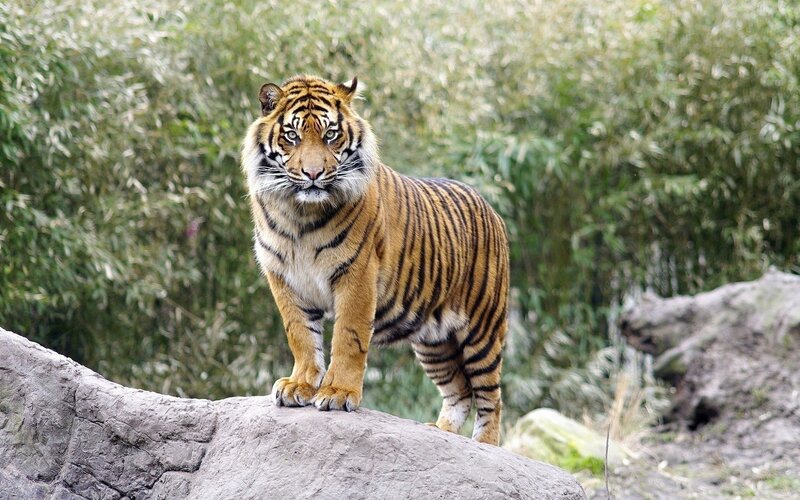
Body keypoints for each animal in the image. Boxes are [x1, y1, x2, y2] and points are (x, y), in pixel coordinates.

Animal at [240, 75, 509, 445]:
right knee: (459, 391)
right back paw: (440, 432)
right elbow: (301, 335)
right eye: (292, 136)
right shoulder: (284, 278)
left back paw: (483, 446)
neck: (299, 213)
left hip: (483, 330)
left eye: (330, 135)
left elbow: (348, 337)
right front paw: (300, 385)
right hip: (434, 341)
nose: (313, 174)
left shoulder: (357, 274)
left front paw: (338, 393)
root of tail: (490, 207)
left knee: (490, 397)